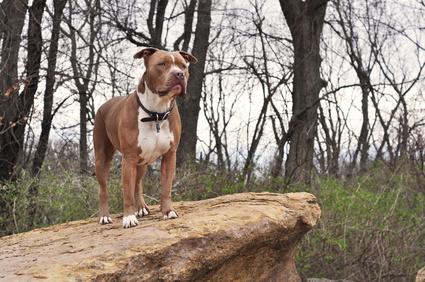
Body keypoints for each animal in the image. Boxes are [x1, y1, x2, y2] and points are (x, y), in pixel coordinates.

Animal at [93, 47, 197, 228]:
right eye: (162, 64)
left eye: (183, 66)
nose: (179, 74)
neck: (156, 113)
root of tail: (104, 105)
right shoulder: (128, 159)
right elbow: (126, 191)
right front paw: (128, 217)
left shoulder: (170, 155)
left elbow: (166, 187)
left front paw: (168, 211)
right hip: (102, 159)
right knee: (103, 189)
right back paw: (105, 216)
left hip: (143, 161)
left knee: (137, 182)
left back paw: (140, 207)